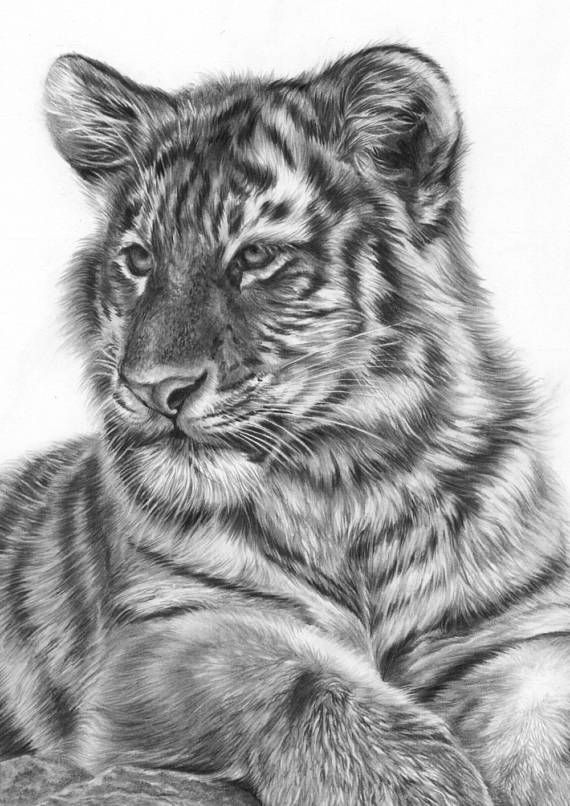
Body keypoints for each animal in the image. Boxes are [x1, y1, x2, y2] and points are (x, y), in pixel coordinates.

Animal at [1, 43, 569, 805]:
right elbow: (293, 673)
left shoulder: (515, 630)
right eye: (140, 260)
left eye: (255, 258)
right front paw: (419, 782)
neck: (350, 482)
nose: (155, 388)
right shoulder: (167, 627)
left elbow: (545, 717)